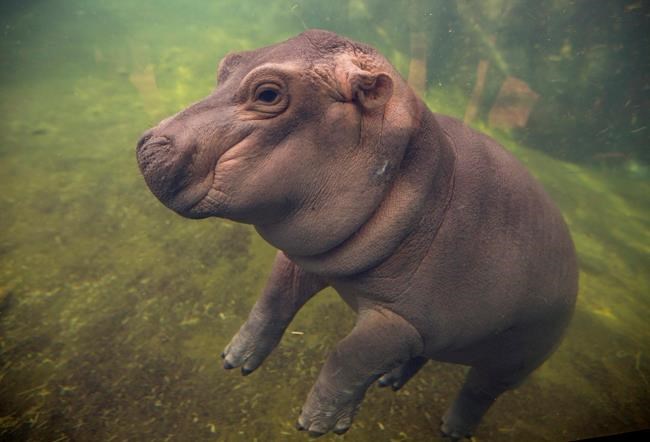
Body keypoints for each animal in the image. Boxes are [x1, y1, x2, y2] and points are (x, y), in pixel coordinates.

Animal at [136, 30, 578, 439]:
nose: (147, 144)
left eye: (268, 93)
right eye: (227, 63)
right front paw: (234, 360)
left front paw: (316, 425)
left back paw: (452, 430)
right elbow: (271, 302)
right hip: (445, 335)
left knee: (479, 391)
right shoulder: (308, 258)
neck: (422, 176)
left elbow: (348, 355)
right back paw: (389, 381)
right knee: (422, 355)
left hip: (514, 359)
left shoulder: (401, 320)